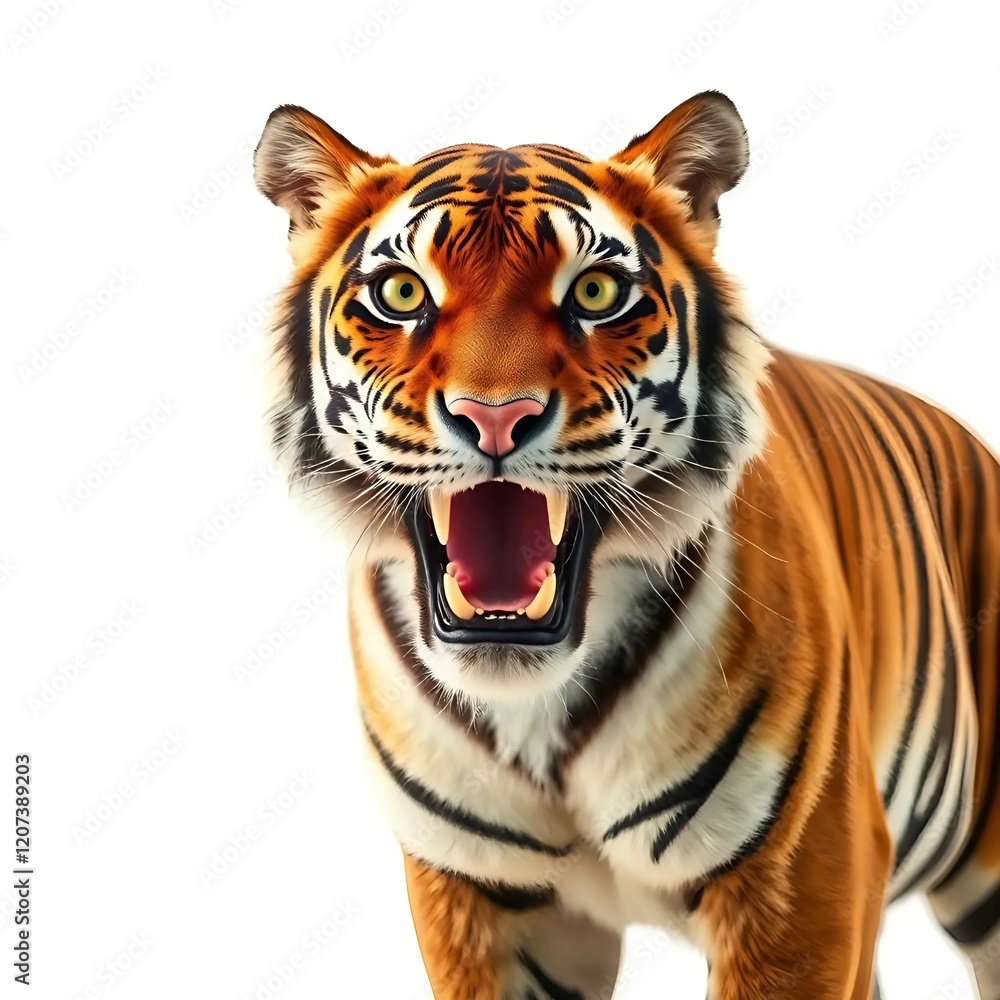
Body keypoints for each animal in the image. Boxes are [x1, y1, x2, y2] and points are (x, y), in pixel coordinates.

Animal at [252, 91, 1000, 999]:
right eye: (402, 292)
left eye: (596, 290)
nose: (493, 416)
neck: (536, 712)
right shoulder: (477, 895)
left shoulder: (807, 875)